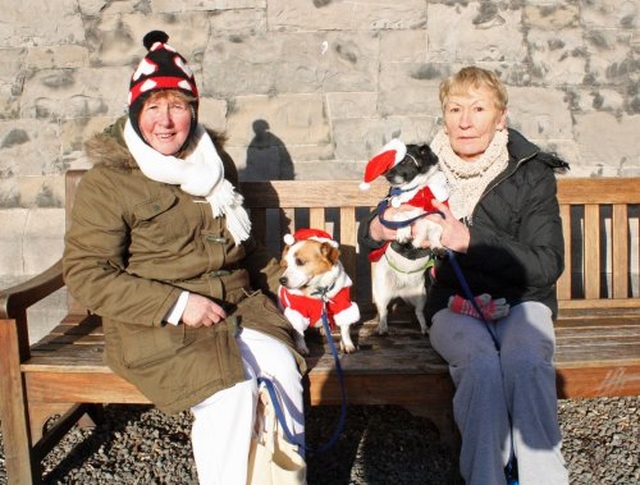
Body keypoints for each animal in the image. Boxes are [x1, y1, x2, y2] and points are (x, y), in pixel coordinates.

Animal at [362, 138, 448, 334]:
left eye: (407, 160)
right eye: (389, 163)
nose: (388, 175)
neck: (419, 190)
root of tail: (401, 291)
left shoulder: (437, 218)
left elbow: (435, 235)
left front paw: (437, 246)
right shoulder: (396, 211)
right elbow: (403, 217)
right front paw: (403, 234)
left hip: (421, 296)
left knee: (419, 313)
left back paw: (425, 329)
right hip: (382, 291)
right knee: (383, 311)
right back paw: (382, 328)